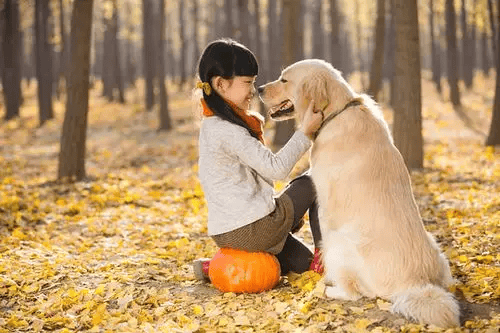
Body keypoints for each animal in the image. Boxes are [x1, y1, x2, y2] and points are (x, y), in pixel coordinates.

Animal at [260, 59, 458, 326]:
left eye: (284, 79)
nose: (258, 88)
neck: (334, 114)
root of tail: (415, 284)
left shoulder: (325, 203)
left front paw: (324, 275)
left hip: (340, 242)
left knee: (354, 292)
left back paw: (329, 288)